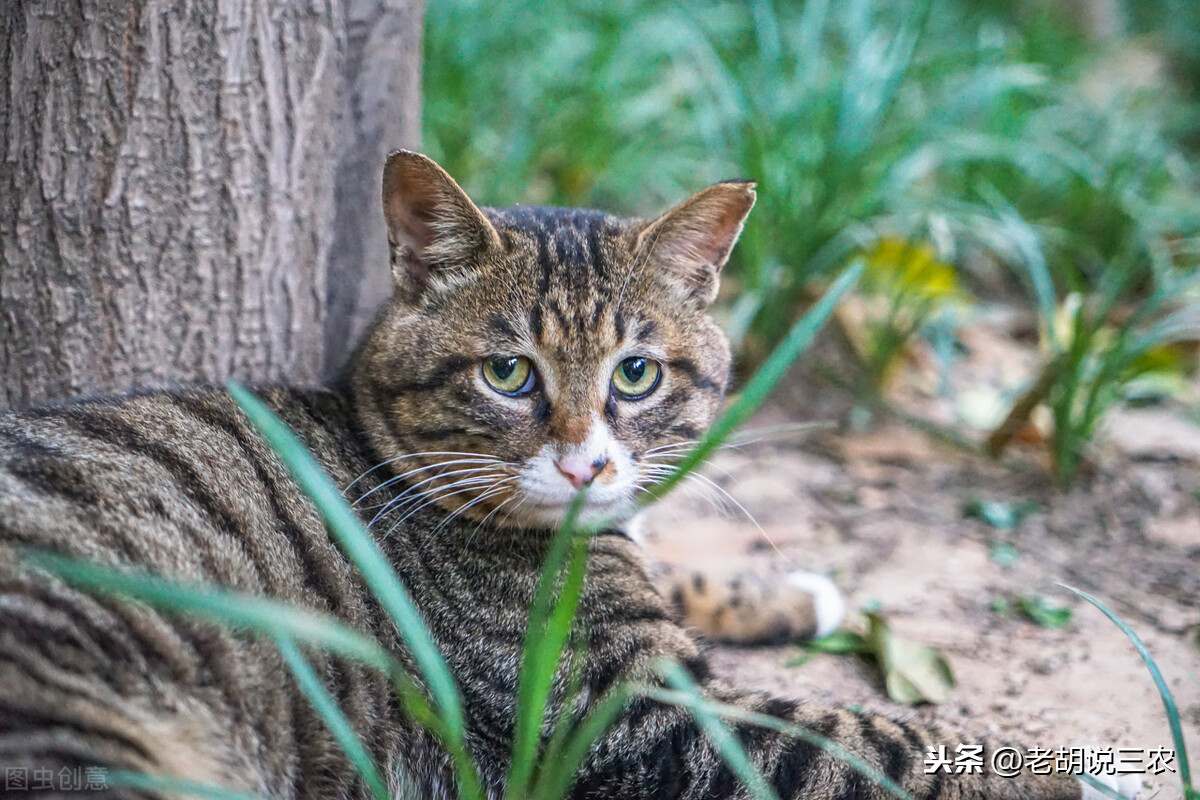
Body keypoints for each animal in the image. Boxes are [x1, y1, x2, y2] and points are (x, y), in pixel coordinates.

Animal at [0, 153, 1123, 796]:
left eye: (635, 372)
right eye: (508, 373)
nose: (585, 461)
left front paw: (788, 590)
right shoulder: (629, 720)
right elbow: (867, 742)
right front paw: (1057, 771)